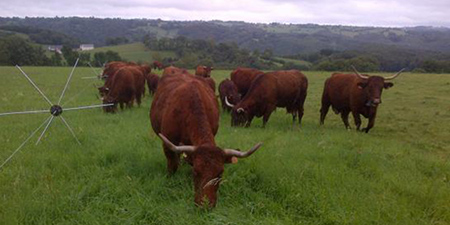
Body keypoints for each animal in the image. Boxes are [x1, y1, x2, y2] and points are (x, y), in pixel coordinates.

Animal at [151, 73, 264, 207]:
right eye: (196, 172)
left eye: (220, 174)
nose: (205, 204)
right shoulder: (168, 144)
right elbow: (172, 165)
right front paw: (169, 178)